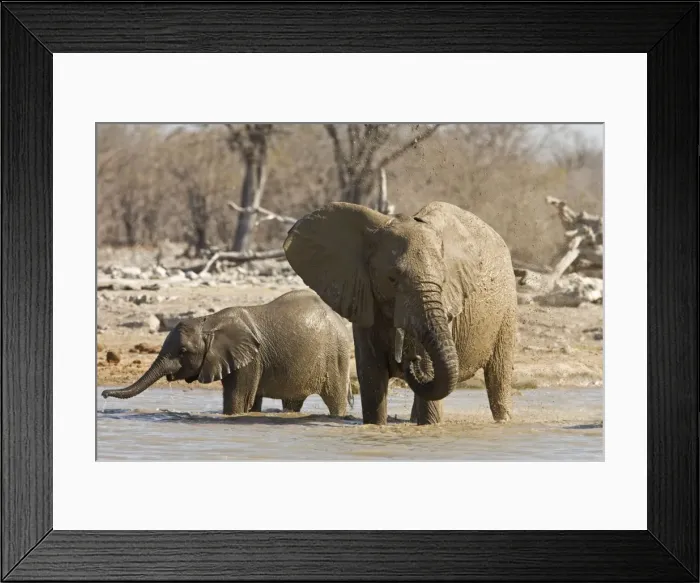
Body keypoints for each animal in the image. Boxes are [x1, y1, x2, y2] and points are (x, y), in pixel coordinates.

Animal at [101, 290, 354, 416]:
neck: (210, 322)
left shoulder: (250, 360)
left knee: (335, 400)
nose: (103, 394)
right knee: (292, 402)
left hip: (337, 357)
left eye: (183, 351)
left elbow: (238, 401)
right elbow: (251, 402)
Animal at [283, 201, 517, 426]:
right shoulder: (364, 297)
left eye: (443, 280)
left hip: (507, 306)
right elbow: (372, 376)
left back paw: (503, 420)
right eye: (392, 279)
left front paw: (430, 424)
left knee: (499, 374)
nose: (411, 360)